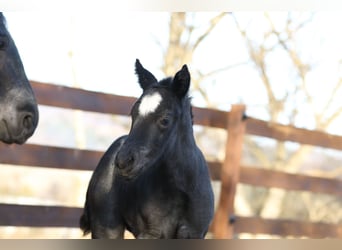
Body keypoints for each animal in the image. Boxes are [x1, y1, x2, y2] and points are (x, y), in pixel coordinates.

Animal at [80, 59, 214, 238]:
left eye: (165, 120)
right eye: (133, 113)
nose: (124, 161)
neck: (181, 189)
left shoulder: (194, 234)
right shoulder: (151, 233)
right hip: (106, 227)